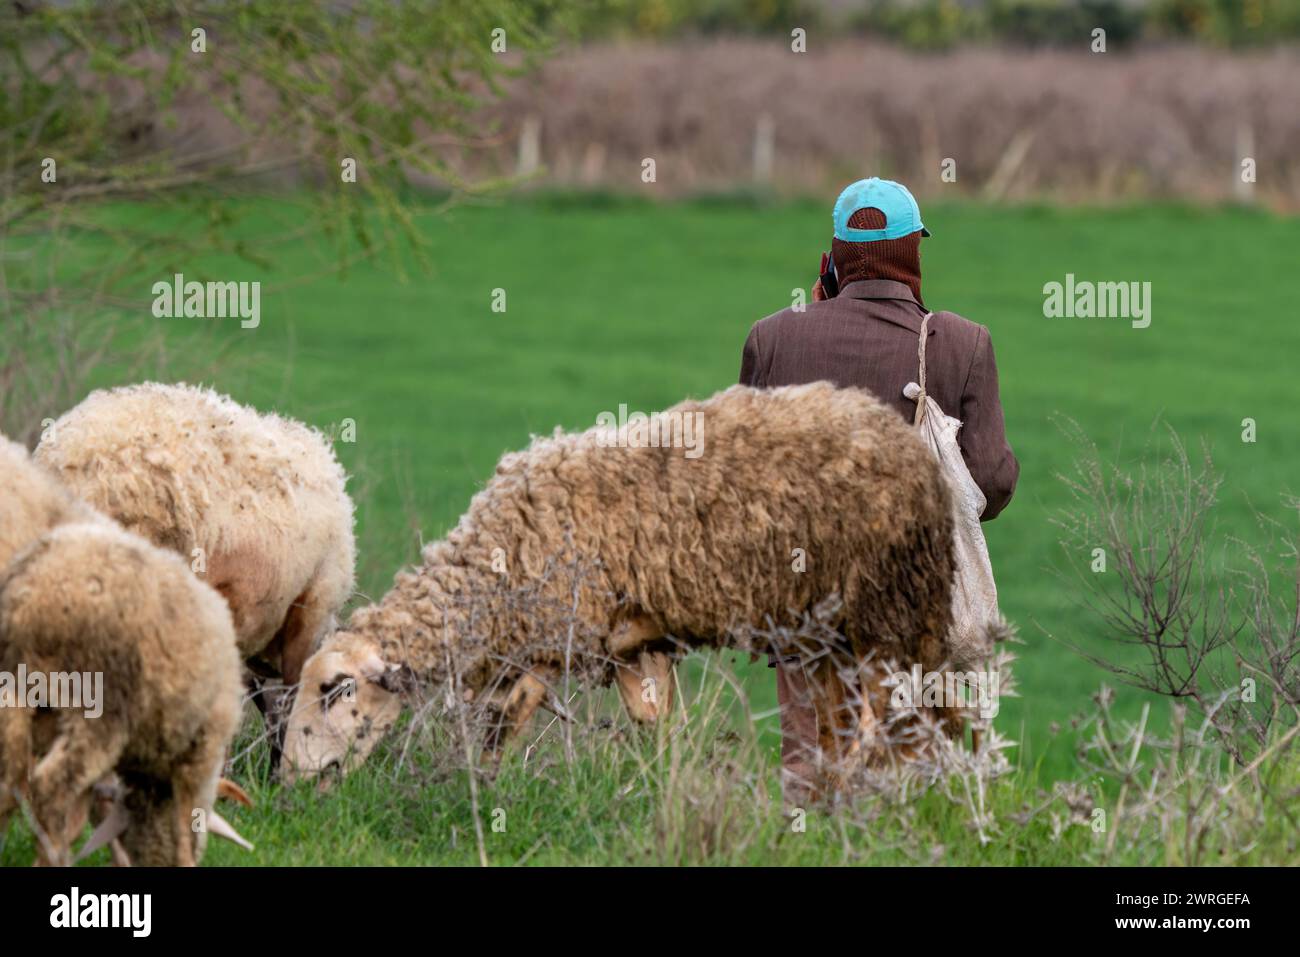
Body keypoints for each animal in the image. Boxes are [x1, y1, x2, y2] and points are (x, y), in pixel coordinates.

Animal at [0, 522, 246, 868]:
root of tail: (35, 587)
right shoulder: (202, 751)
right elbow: (188, 828)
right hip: (97, 704)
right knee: (50, 787)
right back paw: (55, 857)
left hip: (18, 688)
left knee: (9, 778)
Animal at [282, 382, 956, 790]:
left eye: (335, 690)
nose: (288, 779)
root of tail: (895, 432)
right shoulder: (628, 647)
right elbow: (656, 731)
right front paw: (664, 790)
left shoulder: (551, 640)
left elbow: (503, 727)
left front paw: (481, 788)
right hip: (827, 633)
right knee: (853, 723)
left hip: (884, 610)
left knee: (883, 723)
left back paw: (859, 798)